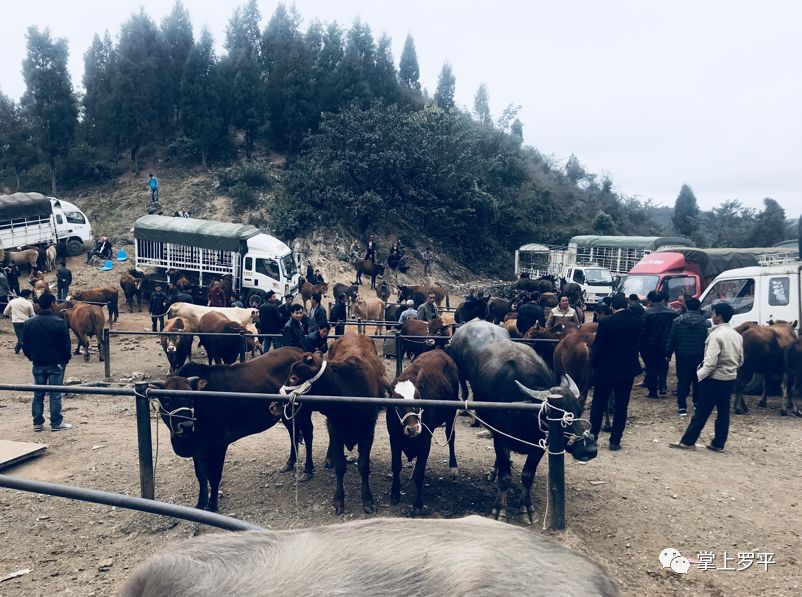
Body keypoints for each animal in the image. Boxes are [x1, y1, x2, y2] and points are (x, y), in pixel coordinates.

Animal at [282, 332, 392, 516]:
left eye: (294, 377)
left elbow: (364, 465)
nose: (275, 402)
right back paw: (329, 457)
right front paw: (339, 500)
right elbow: (340, 467)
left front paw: (367, 500)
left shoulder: (368, 431)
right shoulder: (335, 428)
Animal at [386, 352, 460, 516]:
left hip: (451, 414)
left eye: (419, 398)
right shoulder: (394, 440)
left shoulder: (425, 442)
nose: (413, 428)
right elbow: (396, 466)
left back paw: (453, 466)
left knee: (451, 437)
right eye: (396, 404)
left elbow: (420, 474)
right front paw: (395, 494)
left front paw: (418, 505)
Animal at [450, 322, 592, 520]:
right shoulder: (500, 438)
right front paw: (500, 508)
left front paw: (526, 506)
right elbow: (505, 477)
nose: (590, 449)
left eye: (579, 410)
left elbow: (527, 475)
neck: (524, 419)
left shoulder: (539, 446)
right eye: (558, 414)